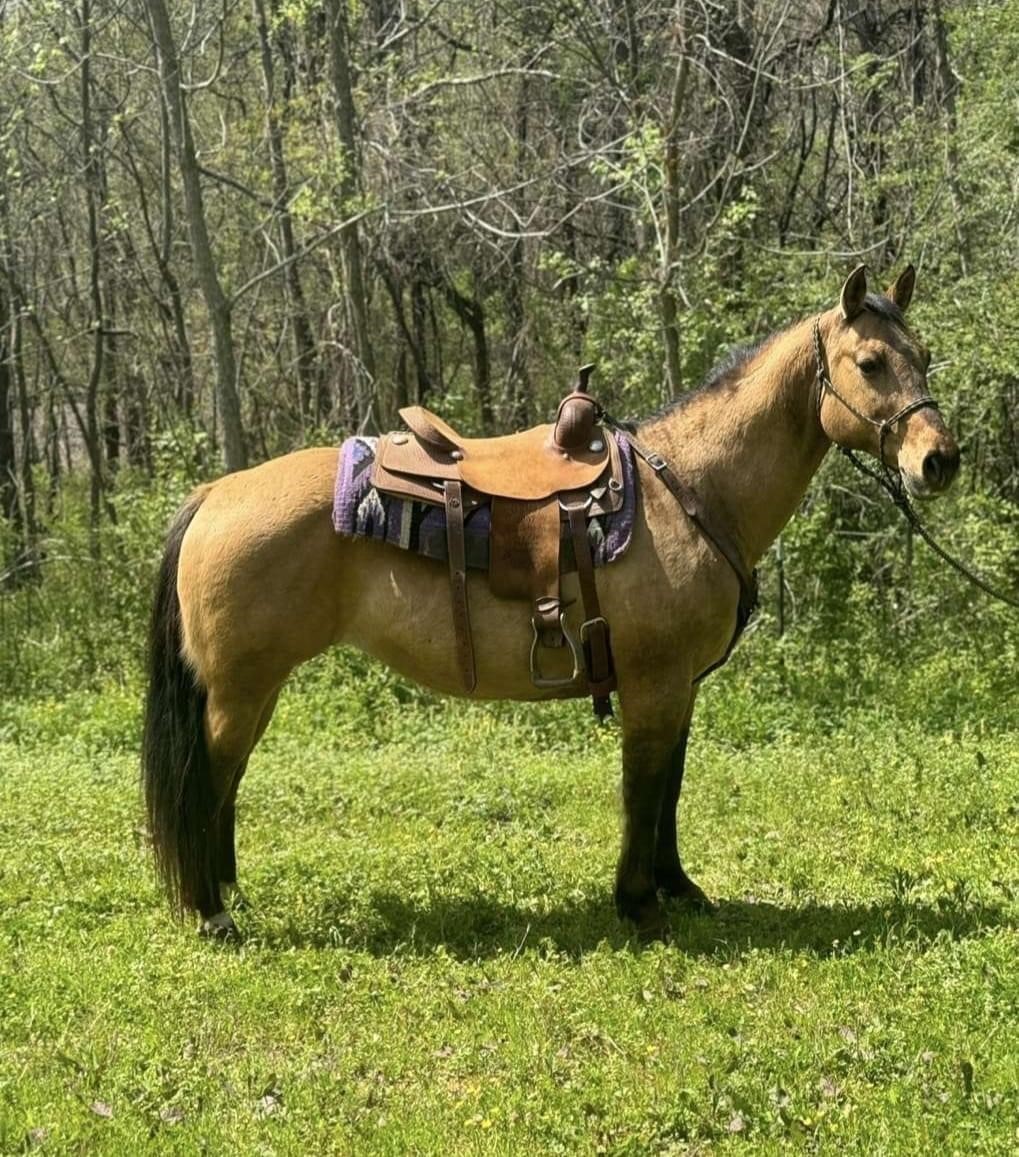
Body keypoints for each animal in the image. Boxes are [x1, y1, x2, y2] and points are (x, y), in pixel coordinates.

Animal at [143, 266, 962, 934]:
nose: (939, 461)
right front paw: (638, 904)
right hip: (240, 688)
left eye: (923, 355)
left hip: (256, 687)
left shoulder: (679, 687)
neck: (692, 490)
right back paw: (213, 912)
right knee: (208, 778)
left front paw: (678, 887)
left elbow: (669, 787)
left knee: (226, 779)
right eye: (870, 362)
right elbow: (643, 788)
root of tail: (215, 492)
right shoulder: (654, 685)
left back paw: (227, 892)